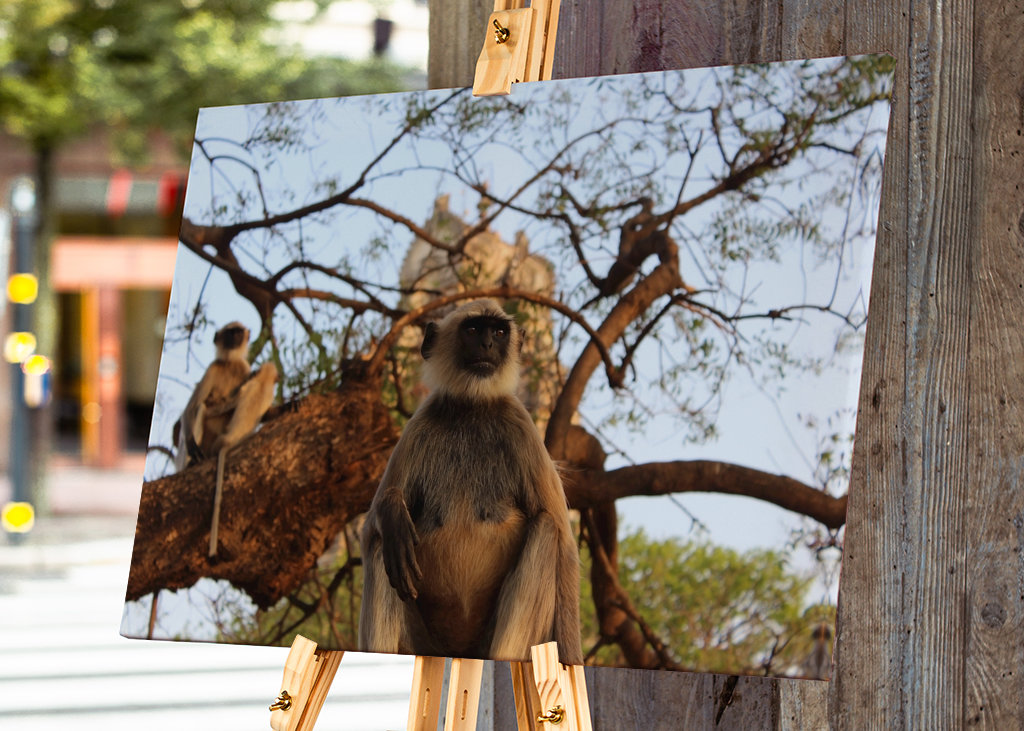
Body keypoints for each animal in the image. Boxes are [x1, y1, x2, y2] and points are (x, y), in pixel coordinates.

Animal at [359, 299, 582, 664]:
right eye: (474, 329)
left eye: (500, 332)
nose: (488, 345)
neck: (472, 407)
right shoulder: (420, 424)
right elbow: (368, 534)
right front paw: (391, 507)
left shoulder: (520, 426)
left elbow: (564, 545)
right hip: (422, 644)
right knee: (385, 542)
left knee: (547, 527)